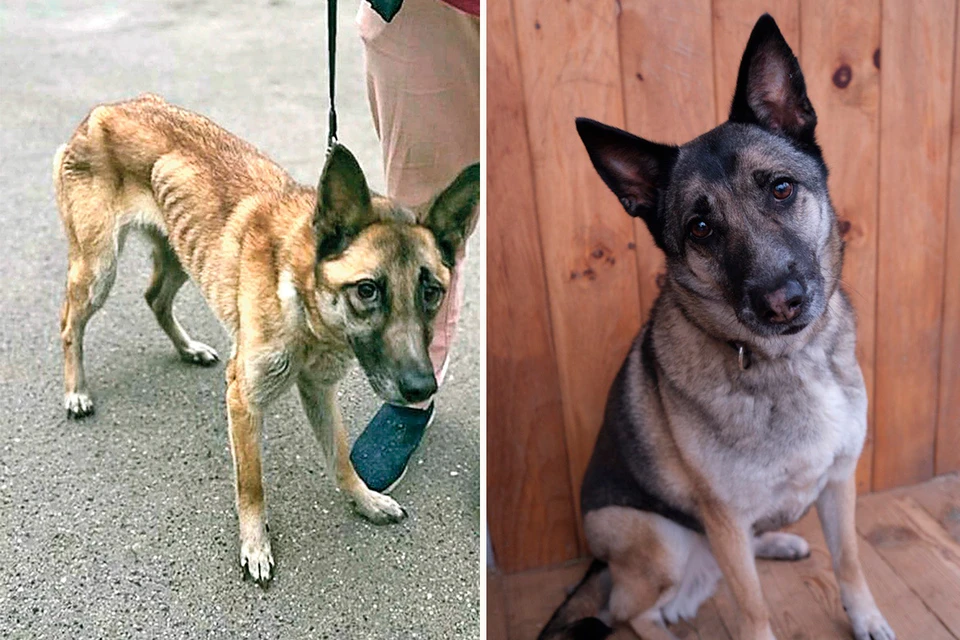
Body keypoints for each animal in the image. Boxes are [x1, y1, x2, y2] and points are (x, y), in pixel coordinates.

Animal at [52, 92, 480, 584]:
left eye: (432, 292)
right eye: (368, 290)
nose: (422, 389)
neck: (302, 299)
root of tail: (108, 107)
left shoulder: (319, 391)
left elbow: (341, 458)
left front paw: (364, 500)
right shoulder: (244, 400)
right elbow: (251, 484)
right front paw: (255, 546)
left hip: (178, 256)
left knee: (155, 298)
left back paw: (187, 348)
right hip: (98, 269)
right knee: (70, 323)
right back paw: (76, 390)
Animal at [540, 15, 892, 640]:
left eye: (781, 188)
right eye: (701, 229)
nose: (782, 303)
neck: (788, 361)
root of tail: (599, 565)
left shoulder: (839, 483)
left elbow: (849, 560)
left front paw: (866, 616)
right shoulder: (725, 518)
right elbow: (753, 610)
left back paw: (775, 541)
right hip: (662, 541)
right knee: (630, 612)